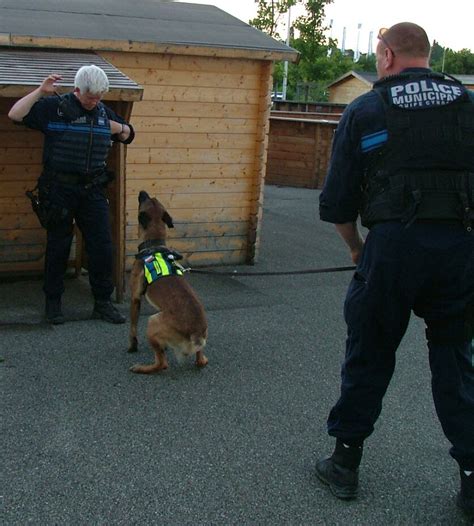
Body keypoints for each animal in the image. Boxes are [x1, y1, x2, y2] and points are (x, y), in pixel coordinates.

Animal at [128, 192, 207, 374]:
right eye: (152, 198)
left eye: (144, 200)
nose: (142, 191)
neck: (155, 243)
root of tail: (195, 333)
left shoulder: (135, 299)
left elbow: (132, 328)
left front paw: (132, 347)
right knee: (201, 360)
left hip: (152, 321)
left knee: (162, 363)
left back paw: (142, 368)